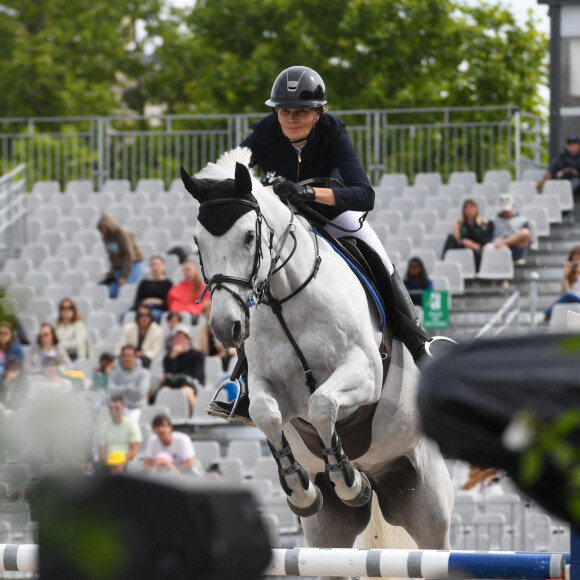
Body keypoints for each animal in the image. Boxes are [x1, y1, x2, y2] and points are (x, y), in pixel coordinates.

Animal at [180, 147, 454, 576]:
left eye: (248, 236)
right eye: (198, 241)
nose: (226, 327)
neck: (283, 298)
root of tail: (381, 475)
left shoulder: (363, 374)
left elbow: (322, 403)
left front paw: (348, 480)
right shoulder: (269, 387)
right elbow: (266, 414)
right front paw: (303, 490)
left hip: (429, 510)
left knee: (436, 547)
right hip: (329, 535)